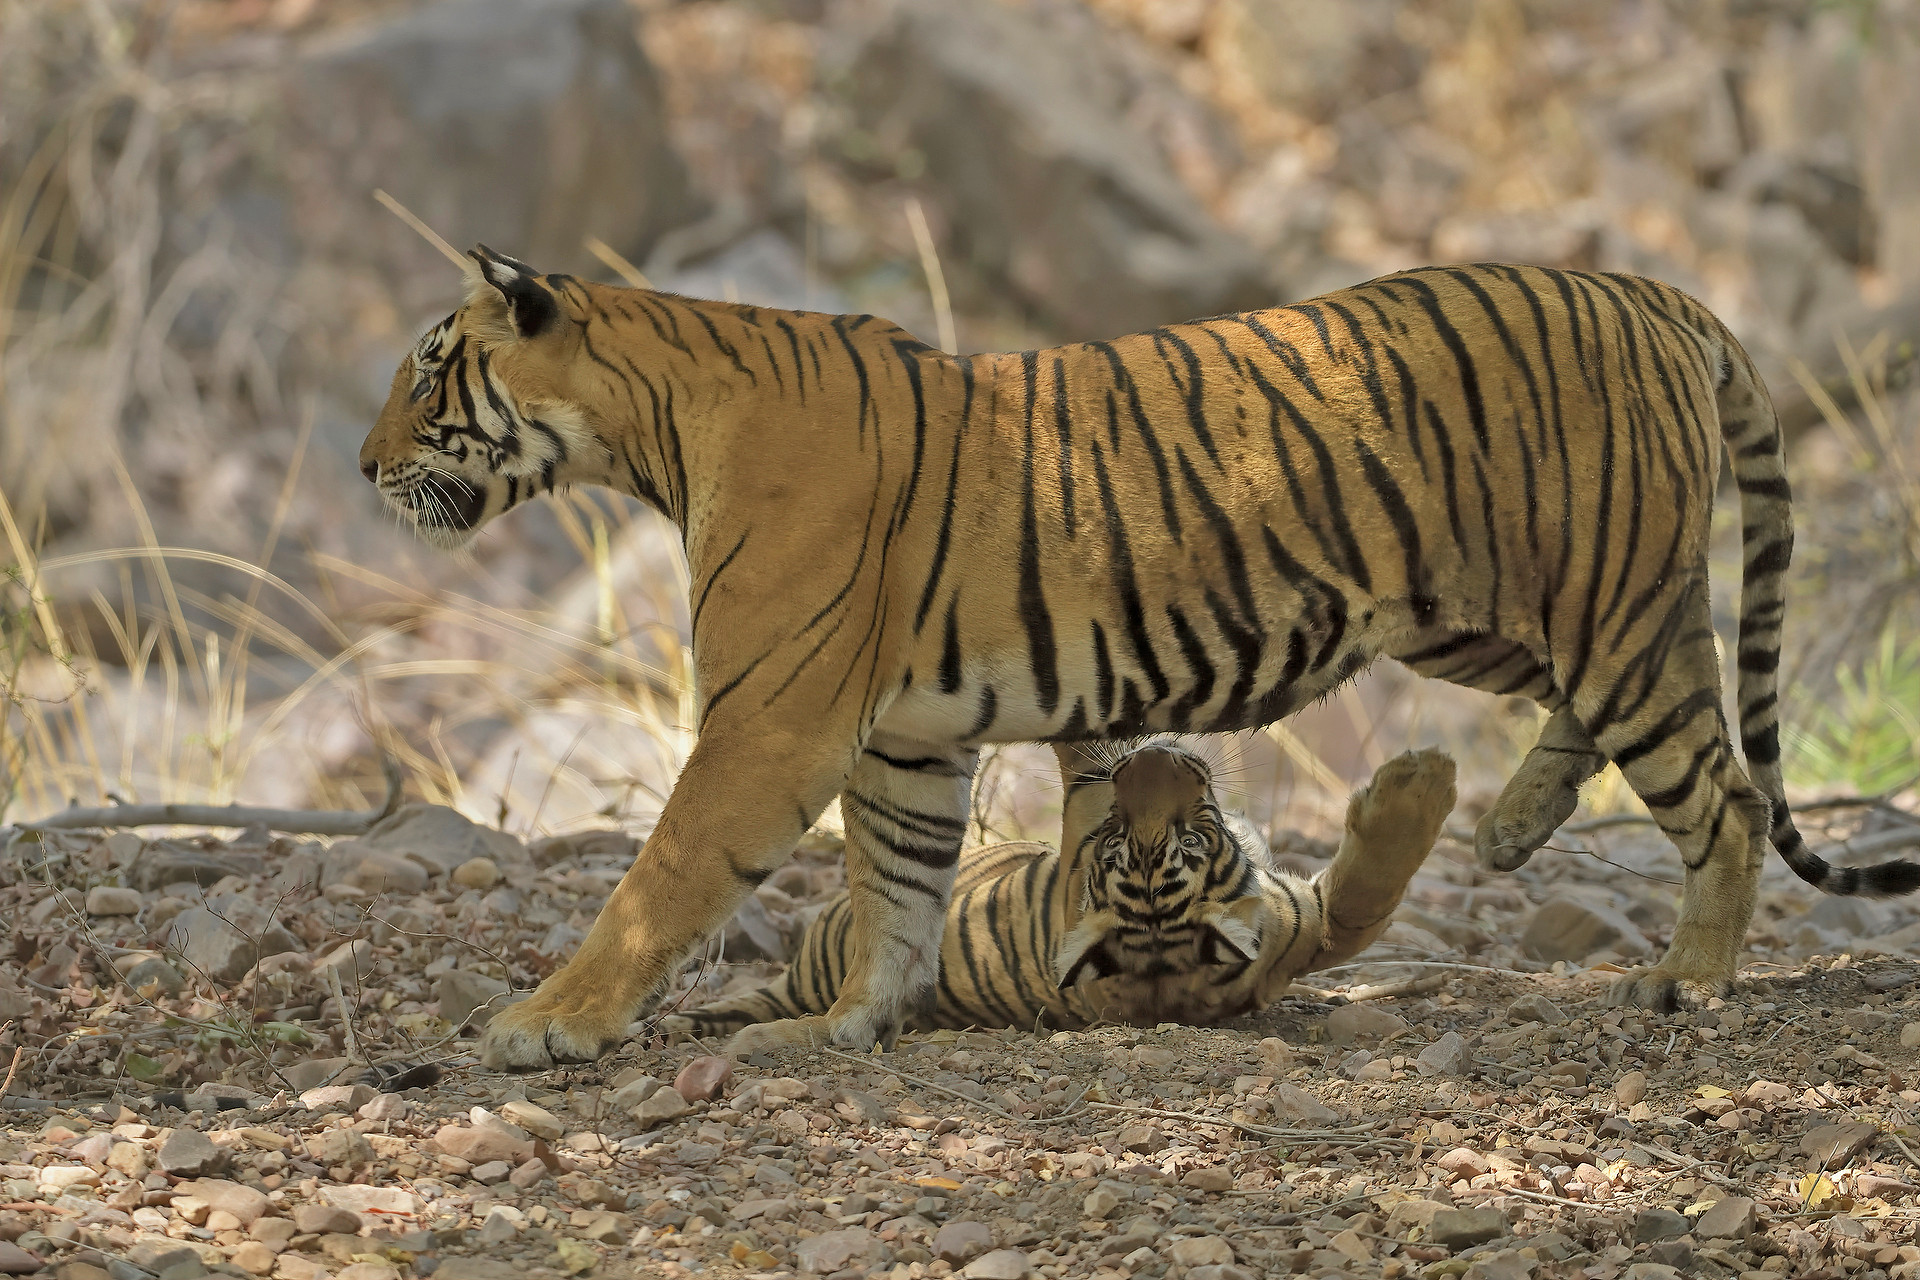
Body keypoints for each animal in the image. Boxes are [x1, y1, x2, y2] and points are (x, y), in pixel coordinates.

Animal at [662, 742, 1456, 1050]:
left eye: (1192, 839)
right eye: (1115, 841)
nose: (1150, 756)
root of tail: (809, 979)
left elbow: (1360, 902)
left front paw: (1421, 782)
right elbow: (1360, 899)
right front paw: (1422, 783)